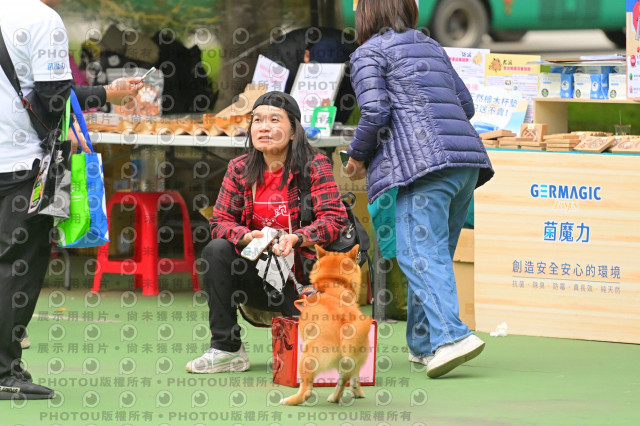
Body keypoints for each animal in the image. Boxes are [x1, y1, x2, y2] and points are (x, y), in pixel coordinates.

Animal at [281, 244, 372, 406]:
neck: (332, 284)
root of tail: (345, 325)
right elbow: (355, 379)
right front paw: (358, 392)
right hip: (352, 357)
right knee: (345, 379)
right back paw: (335, 397)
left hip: (306, 357)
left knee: (306, 391)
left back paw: (289, 400)